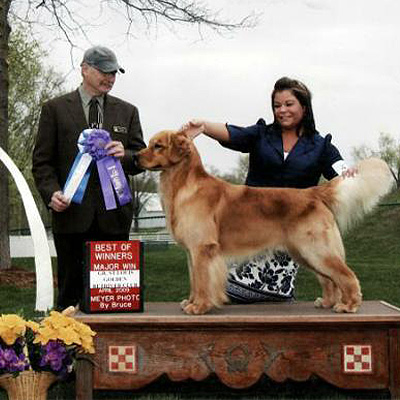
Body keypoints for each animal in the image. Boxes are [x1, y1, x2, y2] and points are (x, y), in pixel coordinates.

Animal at [138, 130, 394, 314]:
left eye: (157, 146)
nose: (135, 156)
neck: (183, 185)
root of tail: (313, 192)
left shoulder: (203, 248)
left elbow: (203, 281)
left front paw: (199, 306)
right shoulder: (192, 252)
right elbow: (194, 280)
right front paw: (190, 302)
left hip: (316, 249)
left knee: (346, 276)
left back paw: (349, 304)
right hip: (305, 252)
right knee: (329, 279)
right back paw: (328, 302)